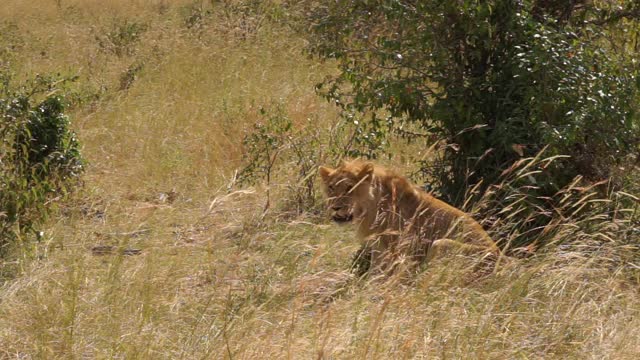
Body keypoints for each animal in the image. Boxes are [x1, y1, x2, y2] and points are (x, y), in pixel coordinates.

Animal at [318, 159, 500, 272]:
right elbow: (375, 274)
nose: (335, 207)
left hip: (441, 244)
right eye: (331, 187)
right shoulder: (379, 247)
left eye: (350, 188)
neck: (371, 208)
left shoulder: (408, 249)